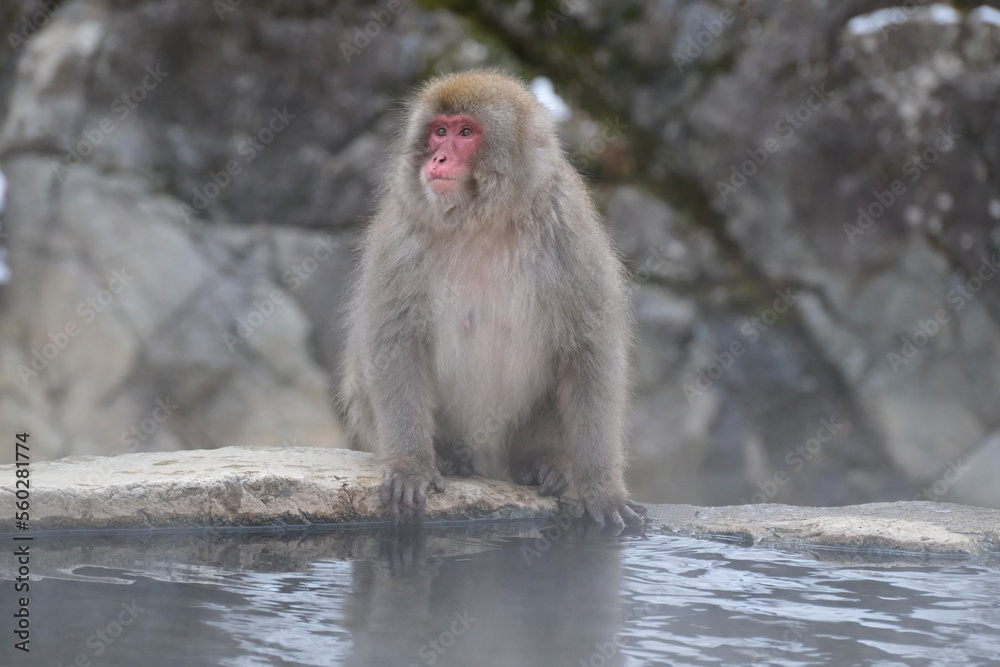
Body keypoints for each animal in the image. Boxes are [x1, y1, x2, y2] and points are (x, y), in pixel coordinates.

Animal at [340, 70, 644, 532]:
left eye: (466, 133)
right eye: (439, 131)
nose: (437, 160)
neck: (484, 221)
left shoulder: (569, 233)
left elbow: (591, 352)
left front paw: (602, 490)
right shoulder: (401, 236)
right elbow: (395, 344)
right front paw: (411, 467)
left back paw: (544, 460)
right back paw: (448, 456)